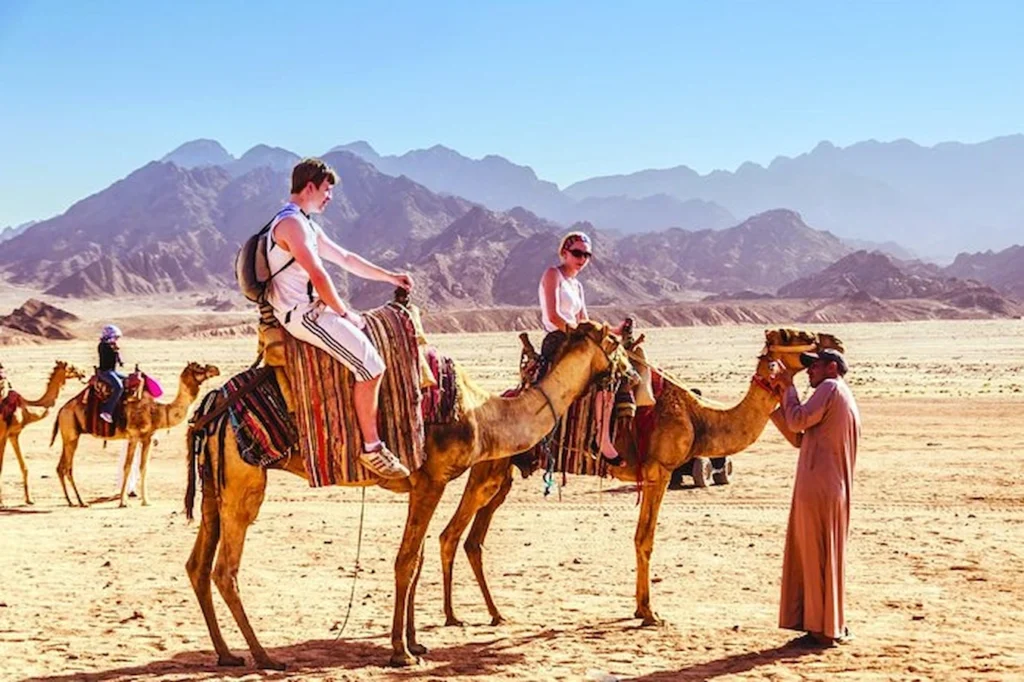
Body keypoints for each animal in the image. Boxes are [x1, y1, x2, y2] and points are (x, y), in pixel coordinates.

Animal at [0, 361, 86, 506]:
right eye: (72, 367)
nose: (83, 373)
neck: (26, 409)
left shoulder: (14, 434)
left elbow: (24, 467)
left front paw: (29, 499)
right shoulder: (4, 435)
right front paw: (2, 502)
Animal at [52, 361, 220, 508]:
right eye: (198, 367)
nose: (216, 369)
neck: (157, 411)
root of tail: (61, 410)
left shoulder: (147, 438)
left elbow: (143, 468)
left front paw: (146, 501)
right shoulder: (133, 437)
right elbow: (127, 466)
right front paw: (123, 502)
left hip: (69, 437)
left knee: (61, 467)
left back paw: (70, 501)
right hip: (71, 434)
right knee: (68, 467)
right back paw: (81, 502)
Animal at [184, 321, 632, 669]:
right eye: (617, 343)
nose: (629, 375)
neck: (484, 417)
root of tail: (209, 406)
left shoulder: (423, 484)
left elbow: (415, 562)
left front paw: (416, 642)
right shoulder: (432, 480)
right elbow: (405, 561)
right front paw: (401, 652)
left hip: (213, 489)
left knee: (197, 565)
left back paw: (226, 654)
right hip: (244, 481)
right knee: (225, 569)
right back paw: (263, 656)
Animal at [438, 328, 840, 628]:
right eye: (795, 335)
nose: (834, 341)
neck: (699, 418)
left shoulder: (650, 476)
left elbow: (640, 538)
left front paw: (638, 608)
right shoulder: (659, 472)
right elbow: (644, 539)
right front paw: (649, 613)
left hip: (501, 477)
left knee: (473, 541)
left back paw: (496, 614)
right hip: (489, 474)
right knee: (450, 534)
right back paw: (452, 616)